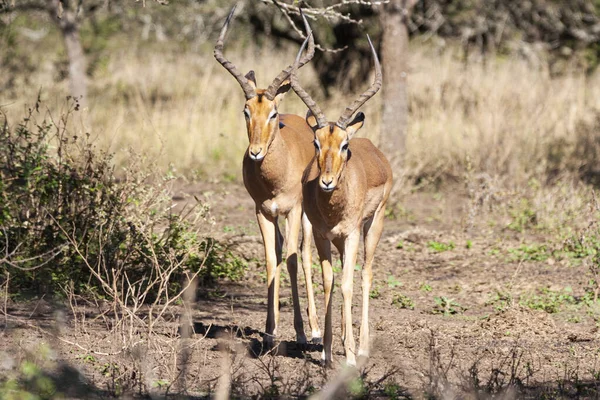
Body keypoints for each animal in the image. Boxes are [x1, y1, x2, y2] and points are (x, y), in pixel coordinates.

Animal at [292, 34, 394, 366]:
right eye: (316, 142)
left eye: (344, 145)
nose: (326, 181)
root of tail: (375, 150)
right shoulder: (323, 236)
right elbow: (329, 282)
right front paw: (325, 350)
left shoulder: (351, 235)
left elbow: (348, 284)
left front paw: (348, 355)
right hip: (338, 240)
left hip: (373, 226)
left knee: (365, 274)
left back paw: (360, 346)